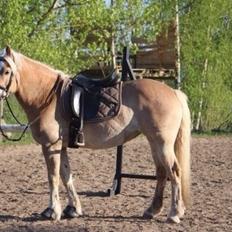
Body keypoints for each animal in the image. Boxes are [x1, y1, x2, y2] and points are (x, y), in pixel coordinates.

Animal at [0, 45, 191, 223]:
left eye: (7, 71)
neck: (49, 97)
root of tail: (173, 92)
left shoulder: (50, 146)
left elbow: (53, 177)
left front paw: (53, 211)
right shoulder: (61, 147)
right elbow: (66, 176)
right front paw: (73, 209)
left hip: (163, 144)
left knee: (174, 172)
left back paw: (174, 213)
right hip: (154, 143)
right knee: (162, 173)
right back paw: (153, 210)